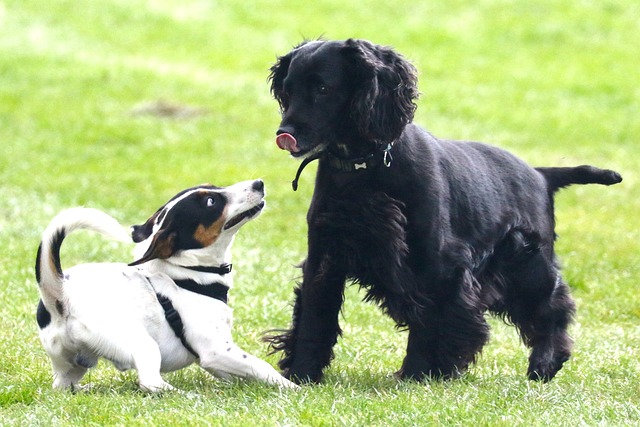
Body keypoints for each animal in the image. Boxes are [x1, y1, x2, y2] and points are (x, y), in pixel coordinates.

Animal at [38, 179, 298, 392]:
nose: (258, 183)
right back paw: (183, 395)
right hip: (143, 344)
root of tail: (60, 293)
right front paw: (294, 388)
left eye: (213, 187)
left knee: (62, 386)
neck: (187, 273)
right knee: (151, 383)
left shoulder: (217, 360)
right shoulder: (216, 351)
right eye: (211, 202)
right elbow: (261, 366)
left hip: (72, 364)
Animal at [264, 39, 620, 384]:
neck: (366, 166)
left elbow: (430, 322)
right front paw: (301, 374)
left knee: (552, 308)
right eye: (289, 90)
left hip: (528, 263)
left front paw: (418, 374)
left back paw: (545, 364)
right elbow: (314, 318)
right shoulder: (325, 256)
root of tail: (541, 175)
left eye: (323, 88)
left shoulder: (438, 264)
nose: (284, 133)